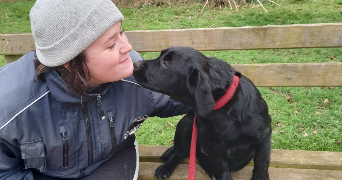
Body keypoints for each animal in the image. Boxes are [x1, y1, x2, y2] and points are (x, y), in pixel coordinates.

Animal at [132, 46, 272, 180]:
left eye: (166, 63)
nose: (135, 64)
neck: (223, 109)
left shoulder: (264, 136)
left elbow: (261, 162)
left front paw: (260, 177)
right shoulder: (211, 144)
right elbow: (220, 166)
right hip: (186, 123)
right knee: (179, 152)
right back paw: (166, 165)